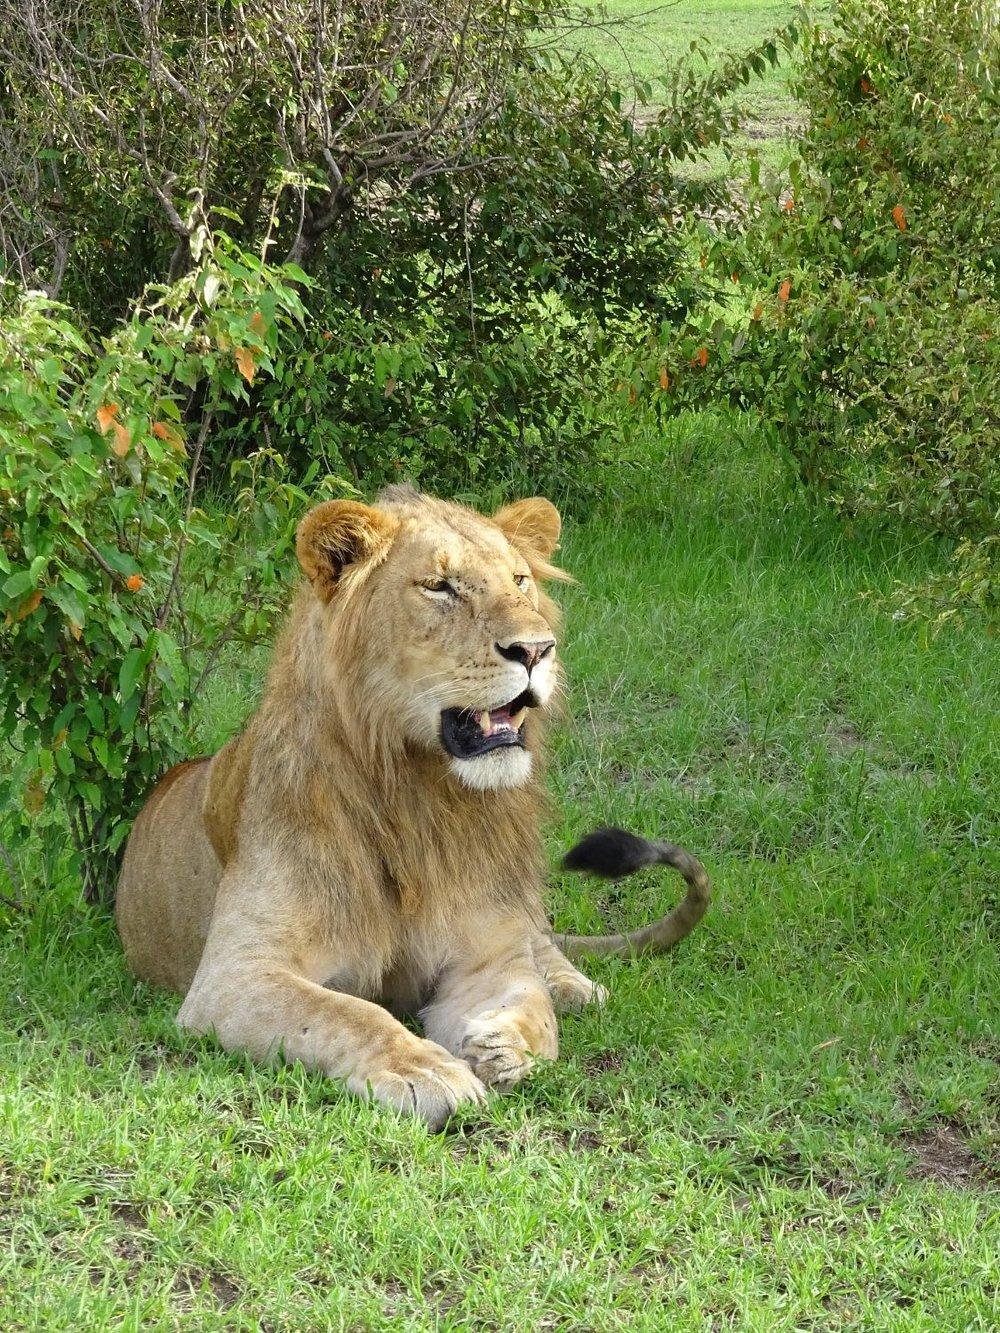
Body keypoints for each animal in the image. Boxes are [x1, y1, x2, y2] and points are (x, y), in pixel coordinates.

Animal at [116, 487, 709, 1128]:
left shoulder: (487, 953)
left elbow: (529, 1003)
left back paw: (575, 987)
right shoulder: (234, 976)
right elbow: (346, 1014)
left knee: (544, 945)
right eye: (439, 586)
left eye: (520, 581)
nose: (536, 649)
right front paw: (423, 1069)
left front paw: (506, 1046)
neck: (418, 792)